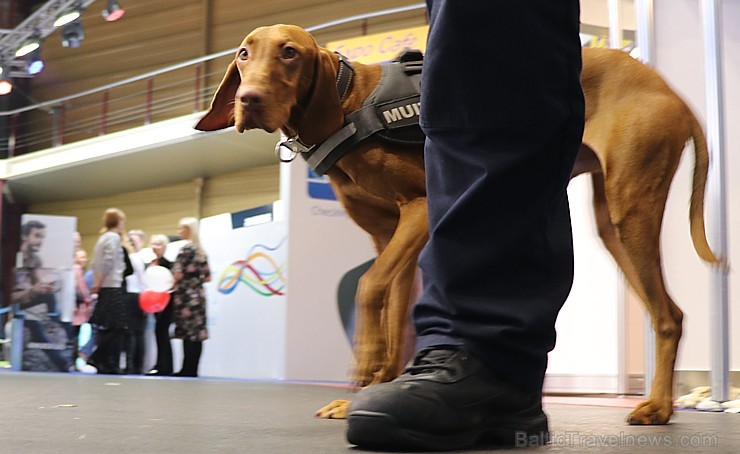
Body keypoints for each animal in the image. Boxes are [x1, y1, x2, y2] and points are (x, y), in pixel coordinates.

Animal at [195, 24, 716, 426]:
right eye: (244, 54)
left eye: (289, 52)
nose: (249, 100)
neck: (347, 102)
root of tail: (668, 90)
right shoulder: (388, 237)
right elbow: (391, 309)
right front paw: (375, 385)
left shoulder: (421, 210)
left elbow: (367, 286)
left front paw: (363, 362)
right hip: (613, 225)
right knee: (669, 313)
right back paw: (660, 403)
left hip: (632, 208)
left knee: (668, 315)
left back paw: (657, 408)